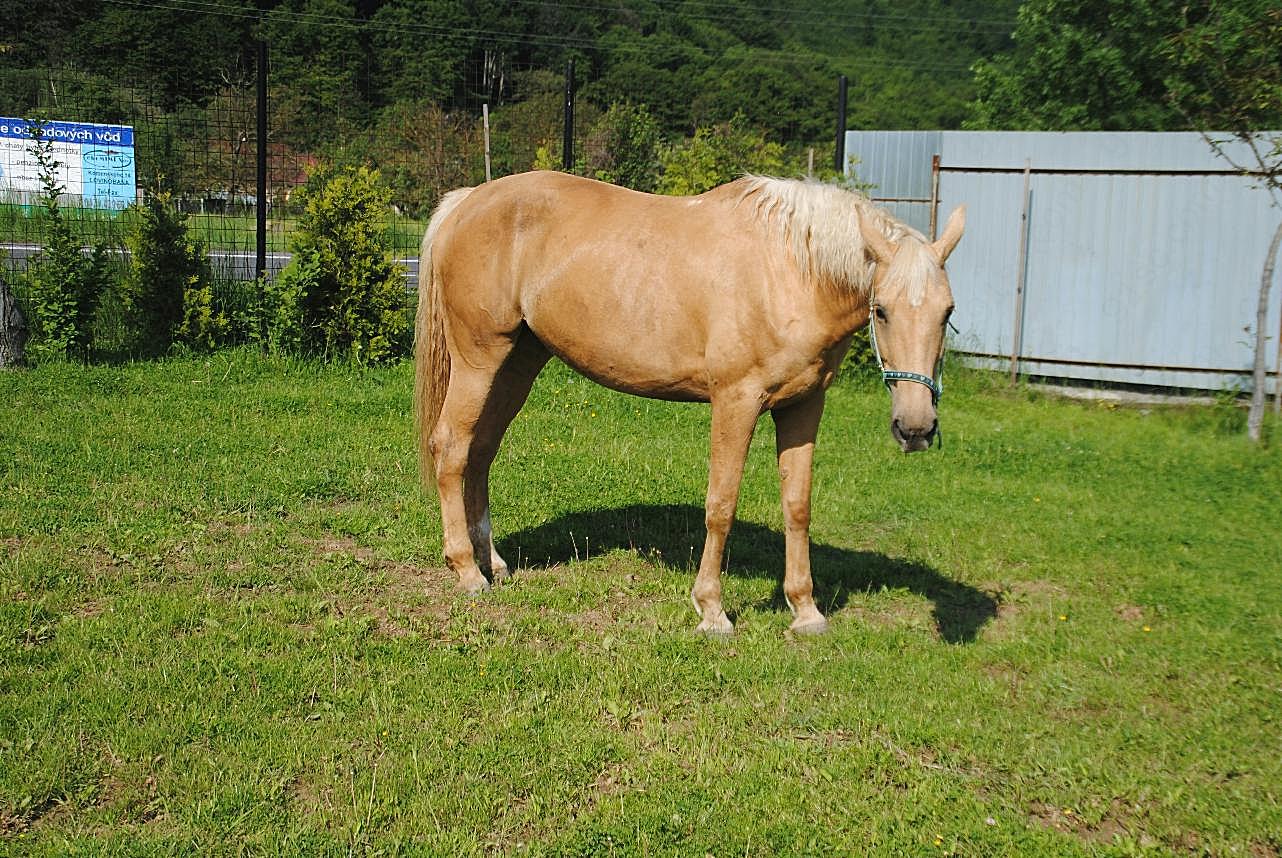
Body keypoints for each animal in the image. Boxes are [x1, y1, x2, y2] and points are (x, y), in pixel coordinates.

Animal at [415, 170, 964, 633]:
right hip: (479, 361)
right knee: (451, 447)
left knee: (480, 451)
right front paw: (712, 611)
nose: (916, 427)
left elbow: (798, 505)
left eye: (947, 311)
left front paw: (806, 612)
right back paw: (467, 572)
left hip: (518, 363)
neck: (789, 271)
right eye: (882, 310)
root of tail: (467, 202)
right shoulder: (736, 402)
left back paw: (494, 563)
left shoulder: (803, 407)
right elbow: (721, 504)